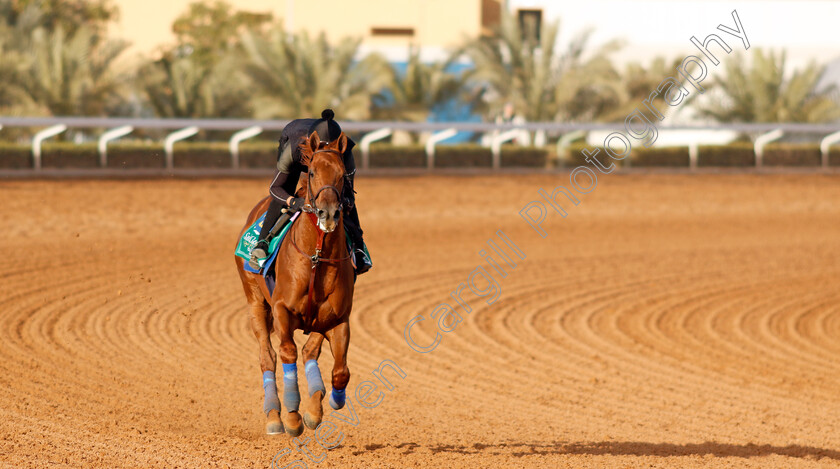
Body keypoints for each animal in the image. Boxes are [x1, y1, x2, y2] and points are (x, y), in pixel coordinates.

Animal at [233, 131, 354, 436]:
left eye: (343, 174)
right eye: (311, 172)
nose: (328, 213)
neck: (316, 257)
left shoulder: (337, 319)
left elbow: (340, 371)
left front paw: (327, 403)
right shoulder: (281, 310)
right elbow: (287, 352)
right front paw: (292, 417)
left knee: (310, 352)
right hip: (255, 301)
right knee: (268, 356)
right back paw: (274, 416)